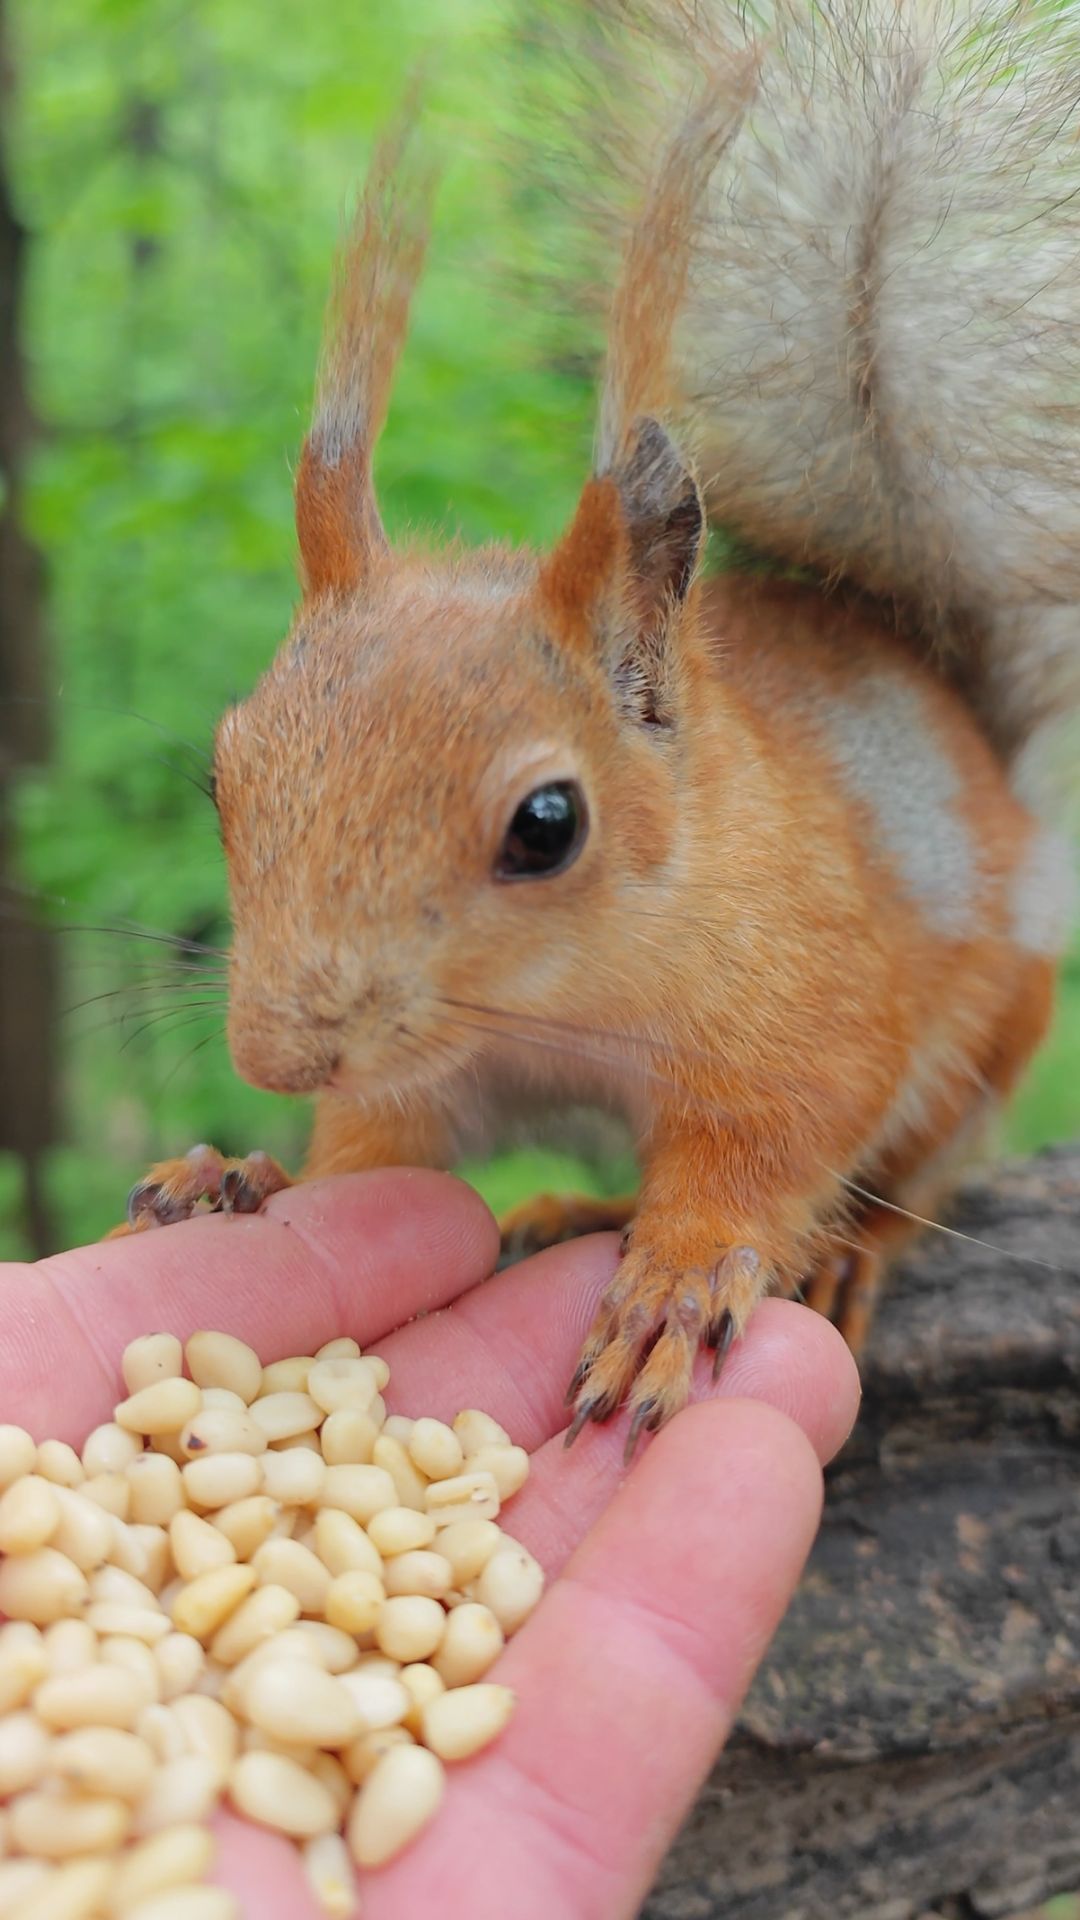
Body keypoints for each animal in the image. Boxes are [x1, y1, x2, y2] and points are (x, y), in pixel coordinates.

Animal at [115, 0, 1079, 1454]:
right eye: (222, 782)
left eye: (547, 825)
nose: (276, 1056)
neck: (544, 1011)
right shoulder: (419, 1077)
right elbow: (375, 1157)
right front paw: (241, 1171)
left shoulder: (804, 996)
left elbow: (775, 1140)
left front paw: (675, 1284)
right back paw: (579, 1202)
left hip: (989, 1043)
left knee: (914, 1176)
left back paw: (841, 1247)